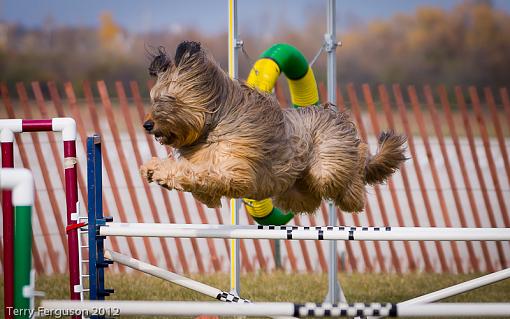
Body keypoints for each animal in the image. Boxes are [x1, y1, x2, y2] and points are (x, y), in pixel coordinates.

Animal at [139, 40, 406, 215]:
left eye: (169, 99)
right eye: (153, 98)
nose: (147, 125)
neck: (212, 126)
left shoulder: (234, 170)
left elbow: (203, 172)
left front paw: (161, 170)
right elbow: (199, 183)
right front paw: (153, 168)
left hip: (328, 166)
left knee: (354, 166)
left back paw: (356, 192)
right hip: (296, 191)